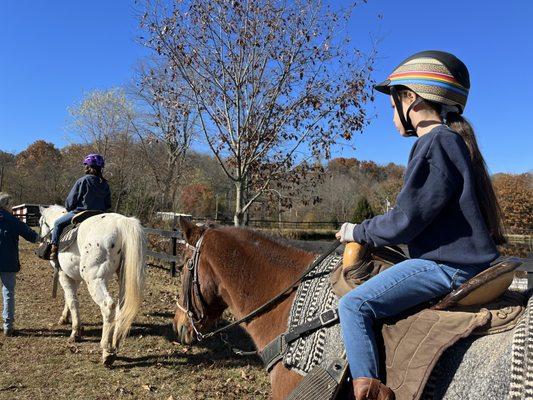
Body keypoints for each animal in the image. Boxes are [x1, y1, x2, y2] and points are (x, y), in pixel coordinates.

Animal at [37, 206, 147, 366]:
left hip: (95, 279)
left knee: (108, 306)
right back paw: (115, 346)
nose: (41, 242)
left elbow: (72, 301)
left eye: (40, 222)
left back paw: (106, 351)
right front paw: (65, 318)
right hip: (123, 279)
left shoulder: (64, 275)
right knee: (121, 308)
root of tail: (121, 223)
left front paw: (75, 332)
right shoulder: (74, 277)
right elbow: (69, 299)